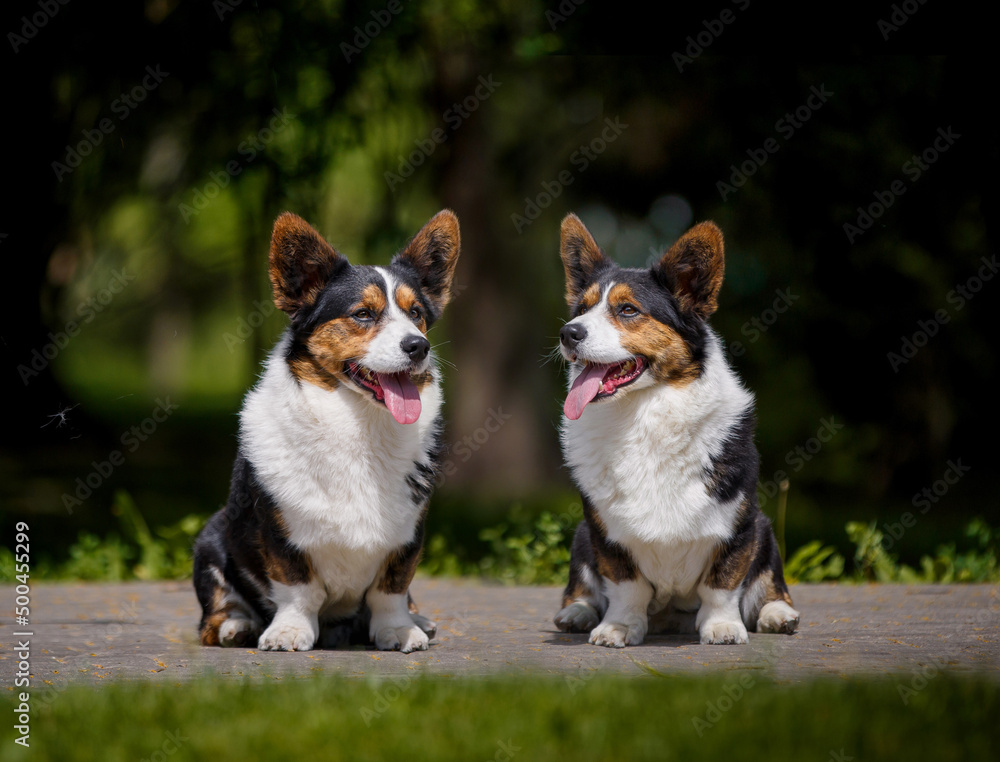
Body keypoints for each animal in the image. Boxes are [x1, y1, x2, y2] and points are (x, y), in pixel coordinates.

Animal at [192, 211, 460, 652]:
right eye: (363, 314)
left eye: (417, 313)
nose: (418, 346)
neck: (359, 425)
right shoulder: (280, 532)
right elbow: (299, 589)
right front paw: (288, 632)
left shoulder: (408, 534)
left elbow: (391, 589)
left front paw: (398, 630)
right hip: (210, 541)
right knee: (214, 615)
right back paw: (237, 625)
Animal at [552, 211, 800, 644]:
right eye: (580, 309)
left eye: (628, 310)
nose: (569, 332)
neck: (643, 414)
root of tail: (670, 617)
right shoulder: (604, 531)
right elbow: (625, 586)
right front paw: (618, 627)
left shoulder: (737, 523)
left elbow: (723, 582)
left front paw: (722, 627)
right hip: (581, 537)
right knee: (583, 585)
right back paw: (577, 612)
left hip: (765, 531)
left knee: (769, 584)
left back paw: (778, 614)